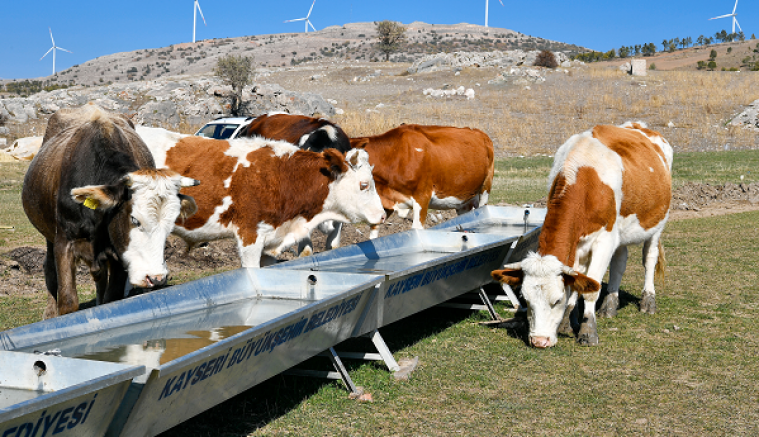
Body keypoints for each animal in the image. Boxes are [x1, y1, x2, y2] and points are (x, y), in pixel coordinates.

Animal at [22, 105, 199, 319]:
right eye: (135, 220)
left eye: (171, 225)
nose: (156, 278)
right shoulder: (64, 242)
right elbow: (68, 301)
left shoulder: (120, 253)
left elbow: (112, 300)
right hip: (49, 235)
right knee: (49, 268)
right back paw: (49, 313)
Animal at [350, 124, 495, 238]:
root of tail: (479, 133)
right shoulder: (385, 199)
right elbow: (373, 232)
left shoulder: (422, 197)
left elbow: (417, 229)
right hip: (463, 200)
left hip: (485, 188)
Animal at [491, 122, 672, 348]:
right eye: (526, 299)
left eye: (556, 300)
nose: (539, 341)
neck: (584, 174)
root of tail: (638, 125)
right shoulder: (577, 243)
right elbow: (577, 280)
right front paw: (567, 321)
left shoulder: (604, 240)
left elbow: (591, 287)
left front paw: (587, 331)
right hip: (620, 232)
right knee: (620, 262)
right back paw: (609, 305)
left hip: (658, 223)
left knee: (649, 258)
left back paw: (648, 301)